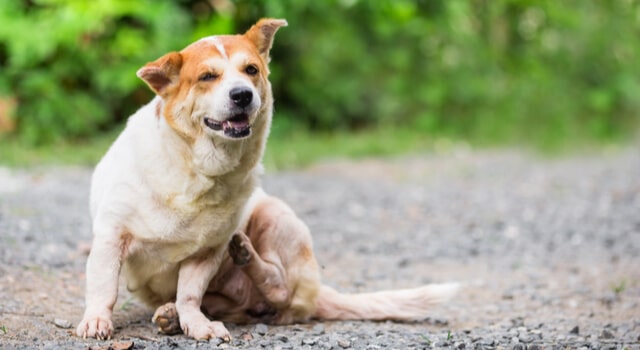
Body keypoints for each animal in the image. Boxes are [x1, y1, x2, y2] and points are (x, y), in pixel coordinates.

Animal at [76, 17, 292, 340]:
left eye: (251, 70)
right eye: (207, 76)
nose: (243, 94)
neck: (199, 171)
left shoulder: (206, 252)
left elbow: (189, 295)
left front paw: (197, 323)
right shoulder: (111, 236)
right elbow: (104, 287)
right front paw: (96, 320)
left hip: (274, 214)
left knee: (279, 287)